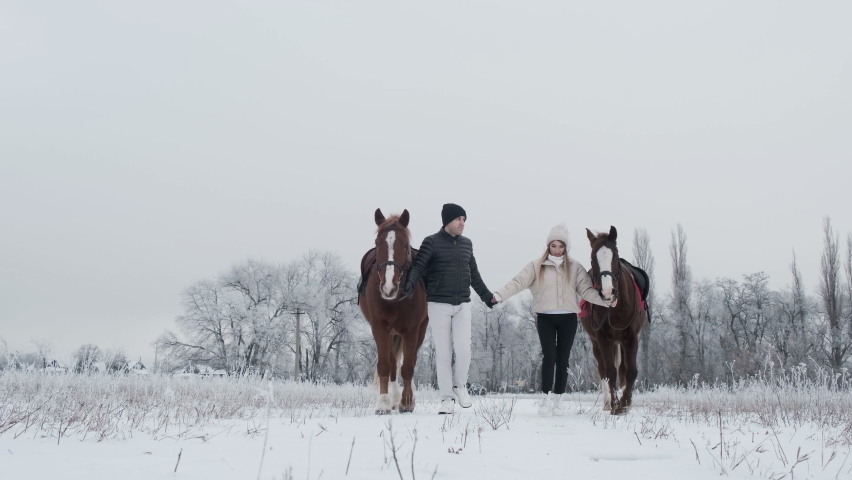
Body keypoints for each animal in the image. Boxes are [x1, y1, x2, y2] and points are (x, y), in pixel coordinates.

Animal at [359, 208, 429, 414]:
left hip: (420, 330)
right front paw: (383, 403)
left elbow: (408, 367)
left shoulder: (412, 329)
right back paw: (394, 399)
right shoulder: (379, 327)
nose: (388, 287)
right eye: (377, 243)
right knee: (392, 365)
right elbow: (385, 366)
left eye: (404, 244)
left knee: (410, 361)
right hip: (391, 333)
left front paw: (407, 401)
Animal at [580, 226, 648, 415]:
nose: (607, 292)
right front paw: (615, 403)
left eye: (615, 256)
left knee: (623, 369)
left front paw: (625, 403)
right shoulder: (603, 338)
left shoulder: (631, 337)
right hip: (597, 343)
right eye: (592, 258)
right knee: (603, 369)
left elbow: (630, 371)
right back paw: (607, 402)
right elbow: (610, 372)